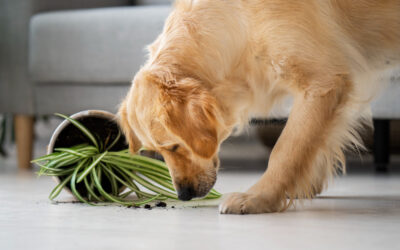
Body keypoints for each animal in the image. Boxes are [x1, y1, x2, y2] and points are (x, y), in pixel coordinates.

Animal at [119, 0, 400, 214]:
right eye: (157, 151)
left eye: (174, 147)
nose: (183, 195)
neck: (239, 23)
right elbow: (313, 142)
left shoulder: (323, 83)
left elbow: (286, 149)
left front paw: (259, 198)